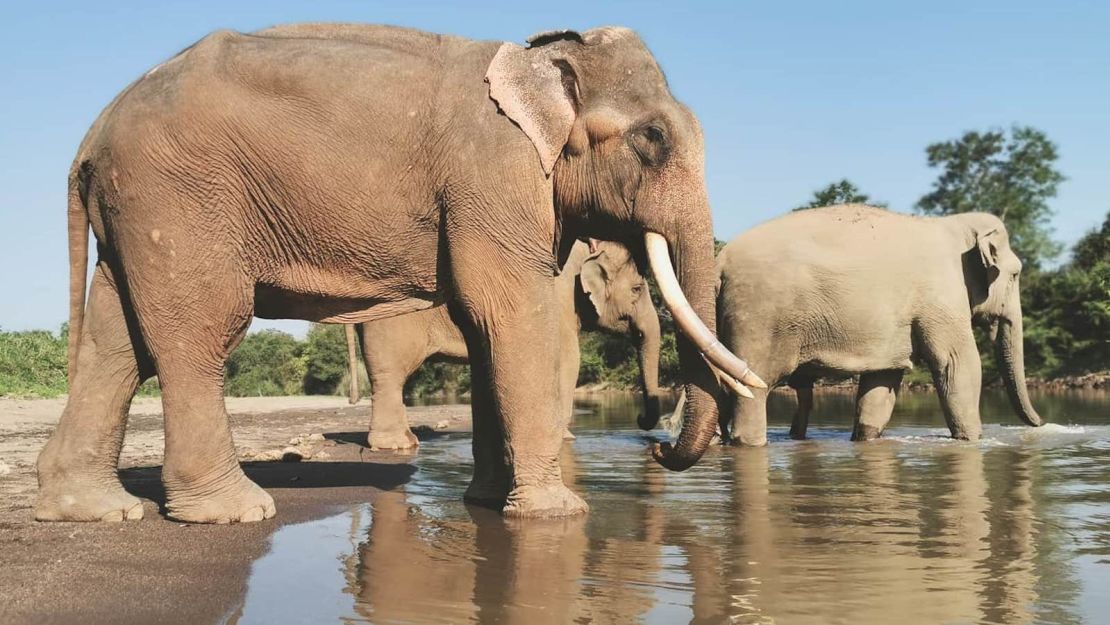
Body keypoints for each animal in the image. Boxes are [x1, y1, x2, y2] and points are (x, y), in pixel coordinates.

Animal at [344, 239, 657, 450]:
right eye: (637, 289)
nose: (640, 419)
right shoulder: (557, 301)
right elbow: (568, 359)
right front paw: (565, 439)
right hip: (390, 321)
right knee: (390, 376)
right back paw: (397, 445)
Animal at [666, 205, 1047, 444]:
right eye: (1015, 275)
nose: (1042, 423)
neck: (954, 225)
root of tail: (719, 261)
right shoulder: (942, 295)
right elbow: (958, 365)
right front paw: (973, 441)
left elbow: (881, 384)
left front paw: (865, 438)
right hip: (759, 316)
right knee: (753, 390)